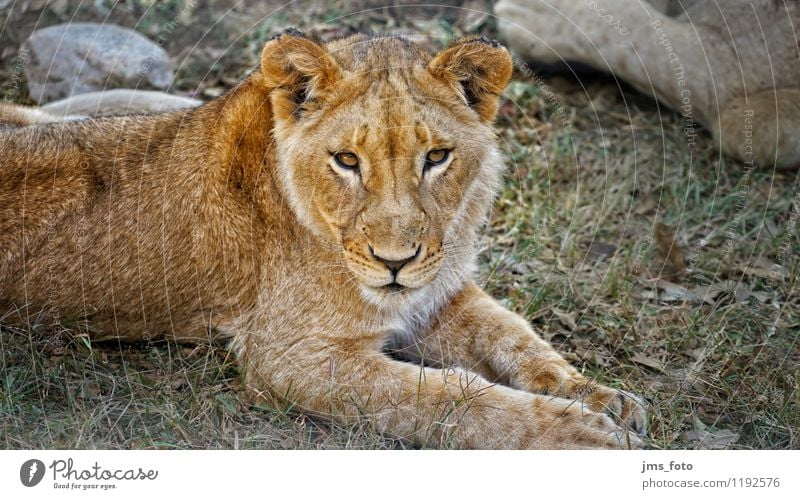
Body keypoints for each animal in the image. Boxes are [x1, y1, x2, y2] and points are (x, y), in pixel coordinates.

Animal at [0, 33, 644, 452]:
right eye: (347, 160)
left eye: (437, 157)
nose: (394, 264)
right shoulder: (294, 356)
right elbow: (449, 399)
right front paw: (577, 434)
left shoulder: (440, 292)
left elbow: (515, 338)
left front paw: (598, 395)